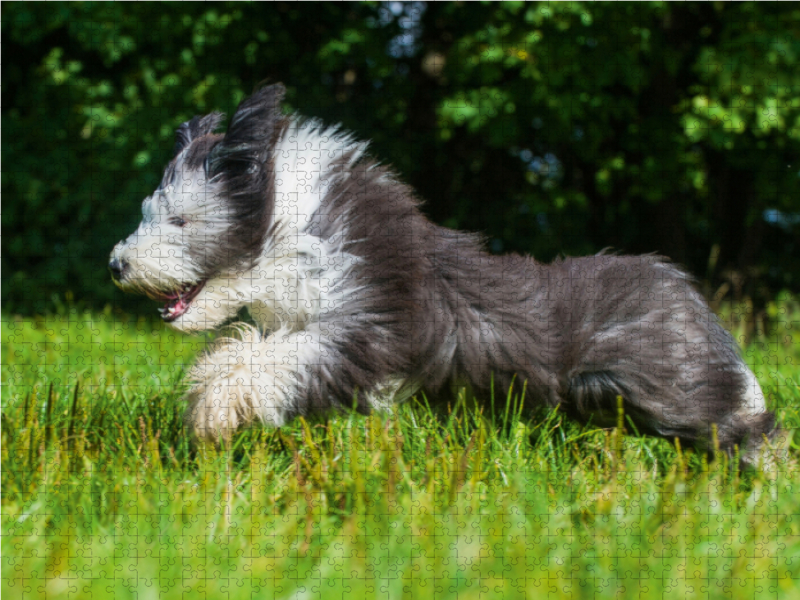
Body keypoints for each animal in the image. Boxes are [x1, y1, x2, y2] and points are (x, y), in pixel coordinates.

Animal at [109, 84, 780, 468]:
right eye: (146, 212)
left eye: (179, 218)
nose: (118, 263)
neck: (295, 230)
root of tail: (680, 286)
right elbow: (249, 349)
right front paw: (208, 390)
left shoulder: (368, 328)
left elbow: (285, 361)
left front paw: (213, 408)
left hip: (659, 384)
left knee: (740, 419)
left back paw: (767, 478)